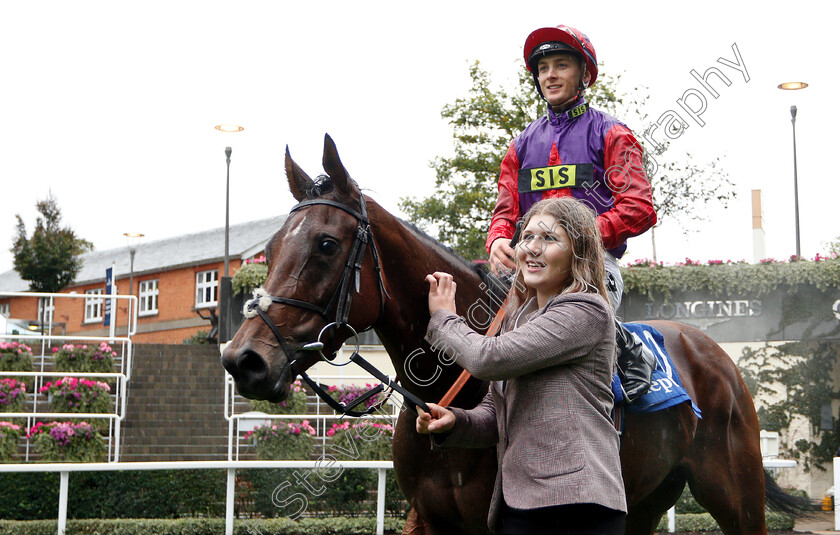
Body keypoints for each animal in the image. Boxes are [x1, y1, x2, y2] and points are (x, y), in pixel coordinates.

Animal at [221, 136, 808, 532]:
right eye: (269, 249)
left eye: (325, 244)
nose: (243, 359)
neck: (451, 388)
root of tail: (716, 356)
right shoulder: (429, 520)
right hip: (642, 501)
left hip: (737, 496)